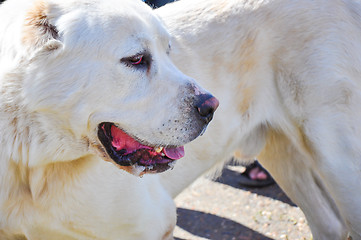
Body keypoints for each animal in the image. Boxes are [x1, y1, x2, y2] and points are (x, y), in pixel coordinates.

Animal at [0, 0, 360, 239]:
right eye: (136, 59)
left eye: (169, 50)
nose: (211, 106)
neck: (33, 164)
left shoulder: (152, 224)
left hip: (338, 161)